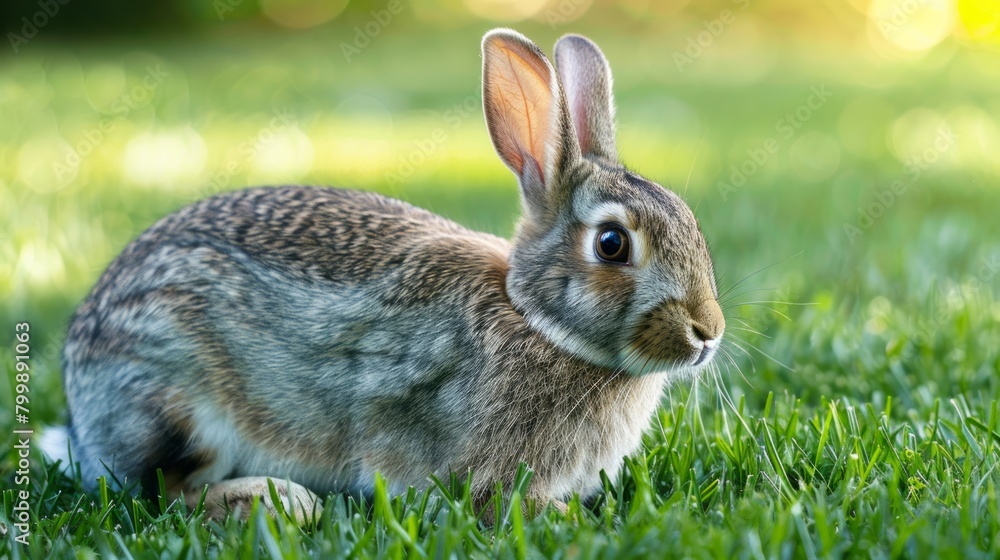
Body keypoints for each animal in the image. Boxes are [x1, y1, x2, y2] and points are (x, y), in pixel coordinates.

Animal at [40, 28, 725, 522]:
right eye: (612, 244)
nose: (708, 333)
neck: (535, 320)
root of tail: (81, 412)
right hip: (173, 398)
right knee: (164, 491)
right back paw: (278, 501)